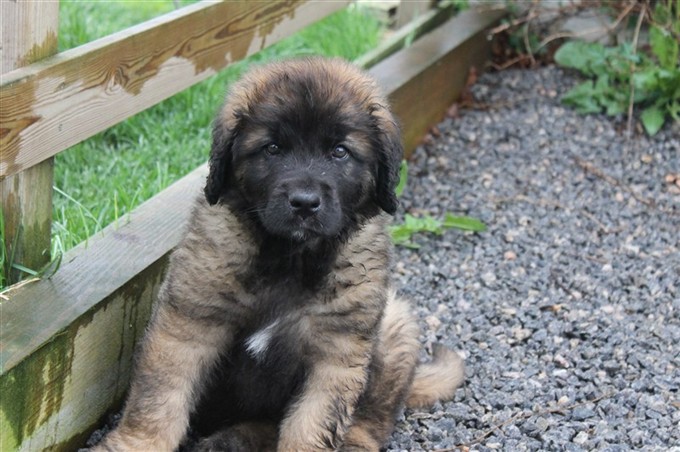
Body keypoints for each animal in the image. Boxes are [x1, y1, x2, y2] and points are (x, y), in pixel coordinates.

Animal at [93, 57, 464, 452]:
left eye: (340, 151)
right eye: (272, 148)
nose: (304, 203)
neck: (289, 257)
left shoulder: (337, 354)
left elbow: (311, 425)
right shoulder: (189, 322)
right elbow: (158, 398)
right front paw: (135, 443)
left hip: (395, 327)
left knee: (371, 421)